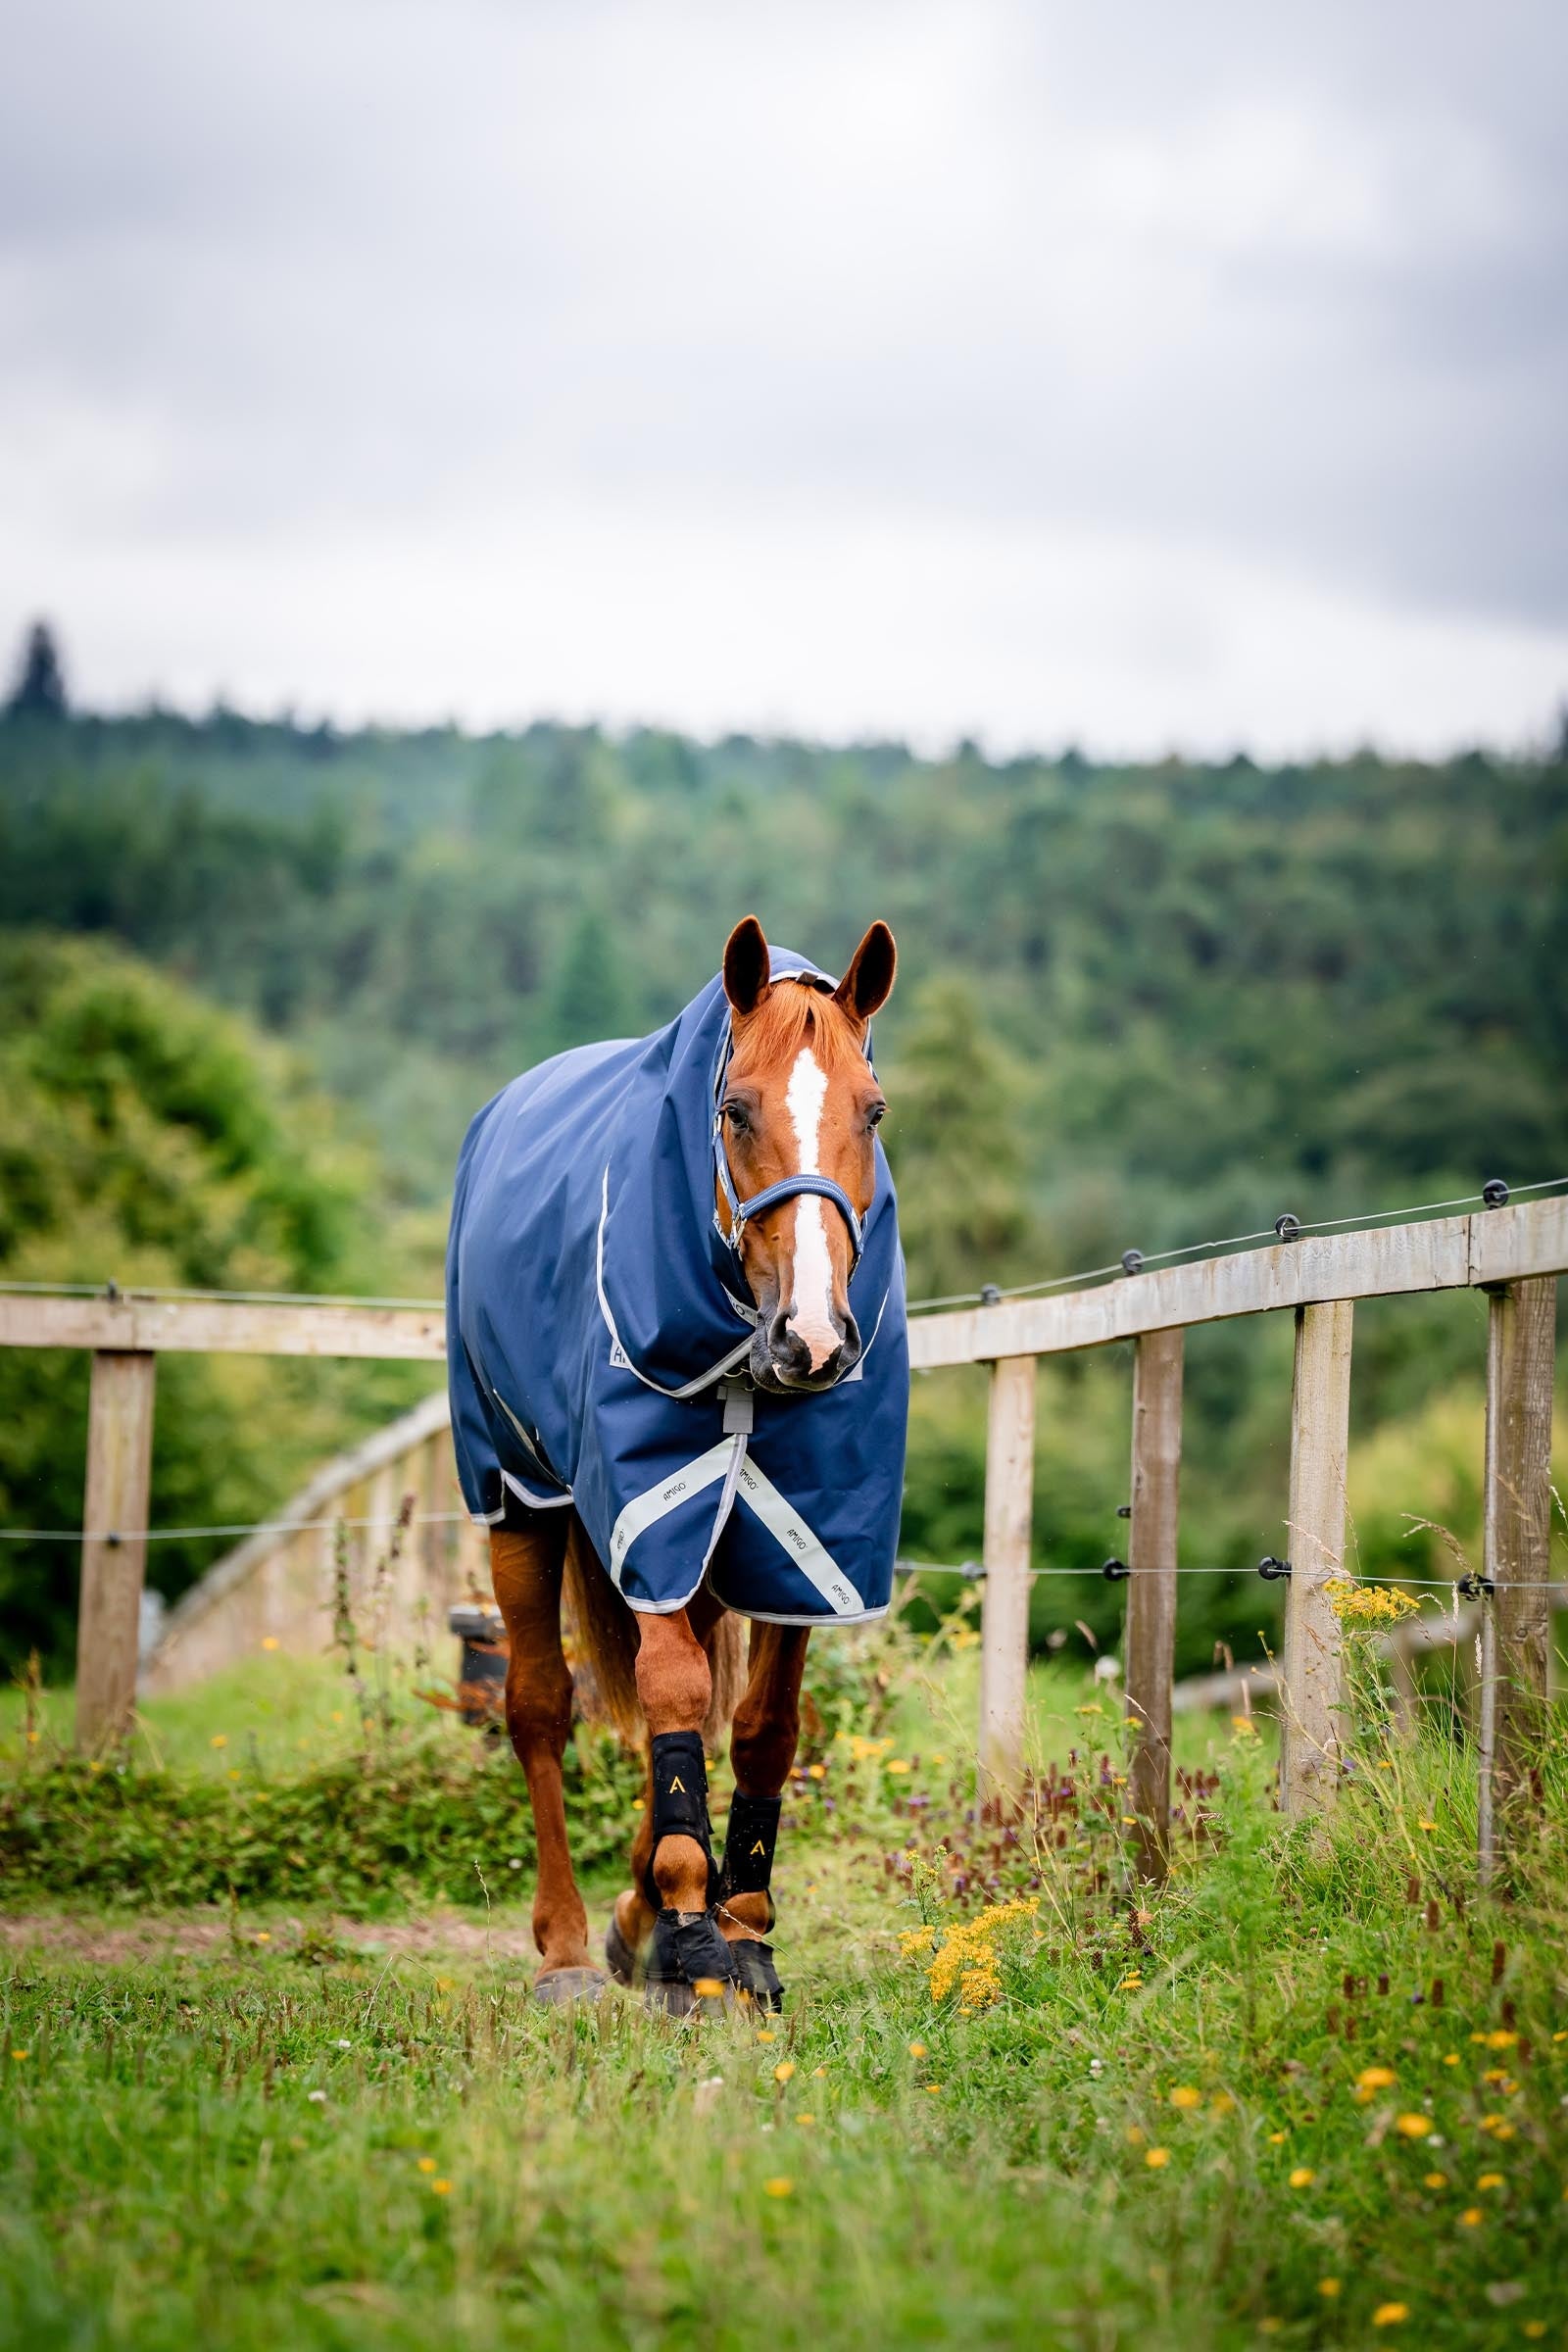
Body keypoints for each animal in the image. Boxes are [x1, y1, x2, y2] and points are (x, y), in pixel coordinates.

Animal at [445, 916, 906, 2008]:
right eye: (733, 1109)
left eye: (873, 1112)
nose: (814, 1339)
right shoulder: (648, 1511)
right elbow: (669, 1693)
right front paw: (694, 1930)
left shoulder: (807, 1543)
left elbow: (762, 1725)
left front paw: (740, 1925)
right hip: (520, 1498)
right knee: (538, 1707)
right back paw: (569, 1945)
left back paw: (632, 1915)